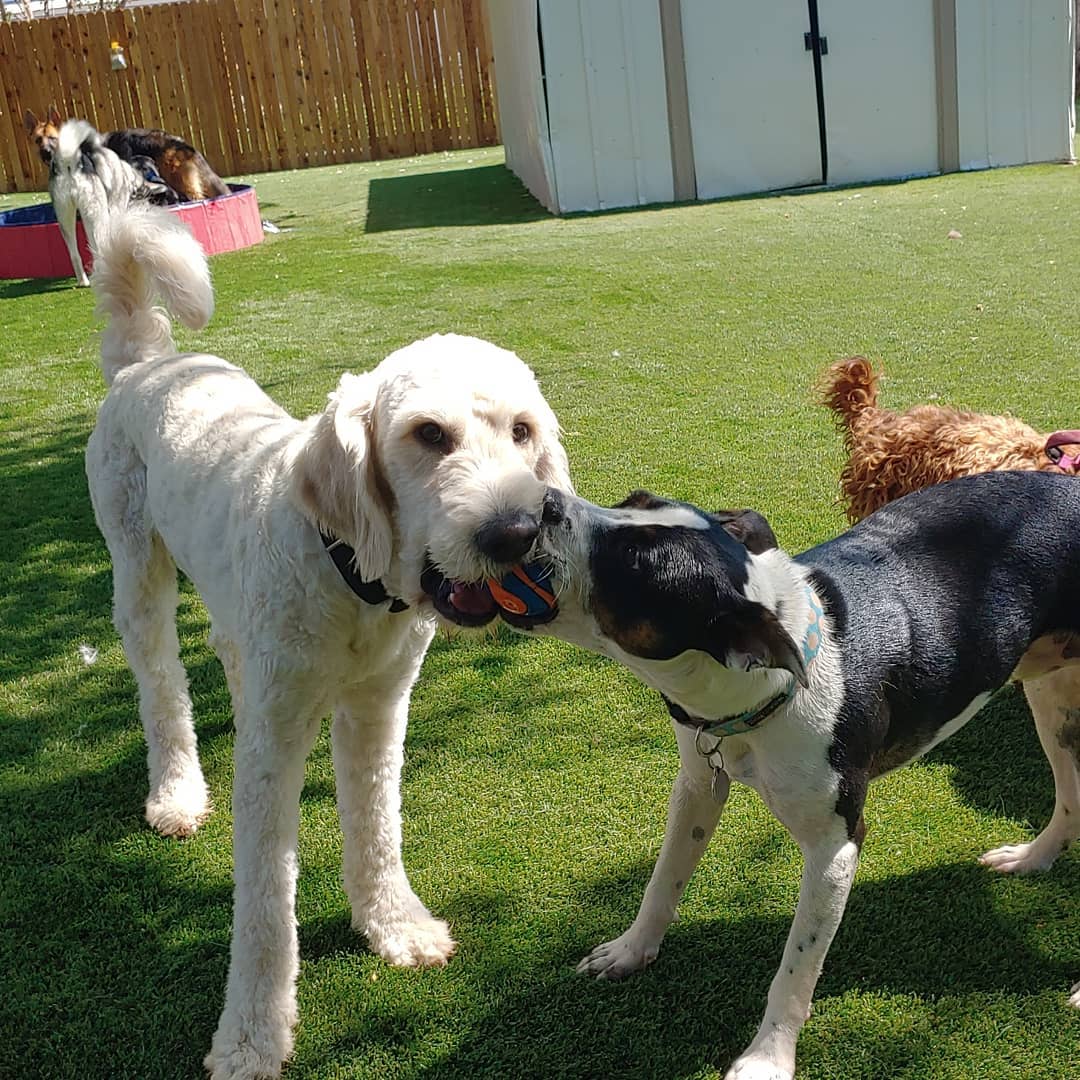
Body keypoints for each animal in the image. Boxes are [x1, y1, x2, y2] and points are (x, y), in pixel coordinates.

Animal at [86, 204, 574, 1080]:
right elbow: (263, 903)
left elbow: (376, 823)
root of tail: (147, 364)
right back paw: (176, 793)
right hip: (137, 570)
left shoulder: (380, 709)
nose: (516, 532)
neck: (348, 573)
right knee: (161, 685)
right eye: (428, 434)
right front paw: (250, 1036)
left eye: (523, 431)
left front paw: (395, 927)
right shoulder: (271, 752)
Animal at [529, 473, 1080, 1080]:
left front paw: (767, 1058)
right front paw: (630, 951)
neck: (766, 682)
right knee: (1070, 797)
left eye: (634, 562)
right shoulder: (696, 786)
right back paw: (1032, 857)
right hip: (1049, 695)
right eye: (632, 501)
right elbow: (664, 878)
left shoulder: (834, 849)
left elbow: (795, 968)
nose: (545, 501)